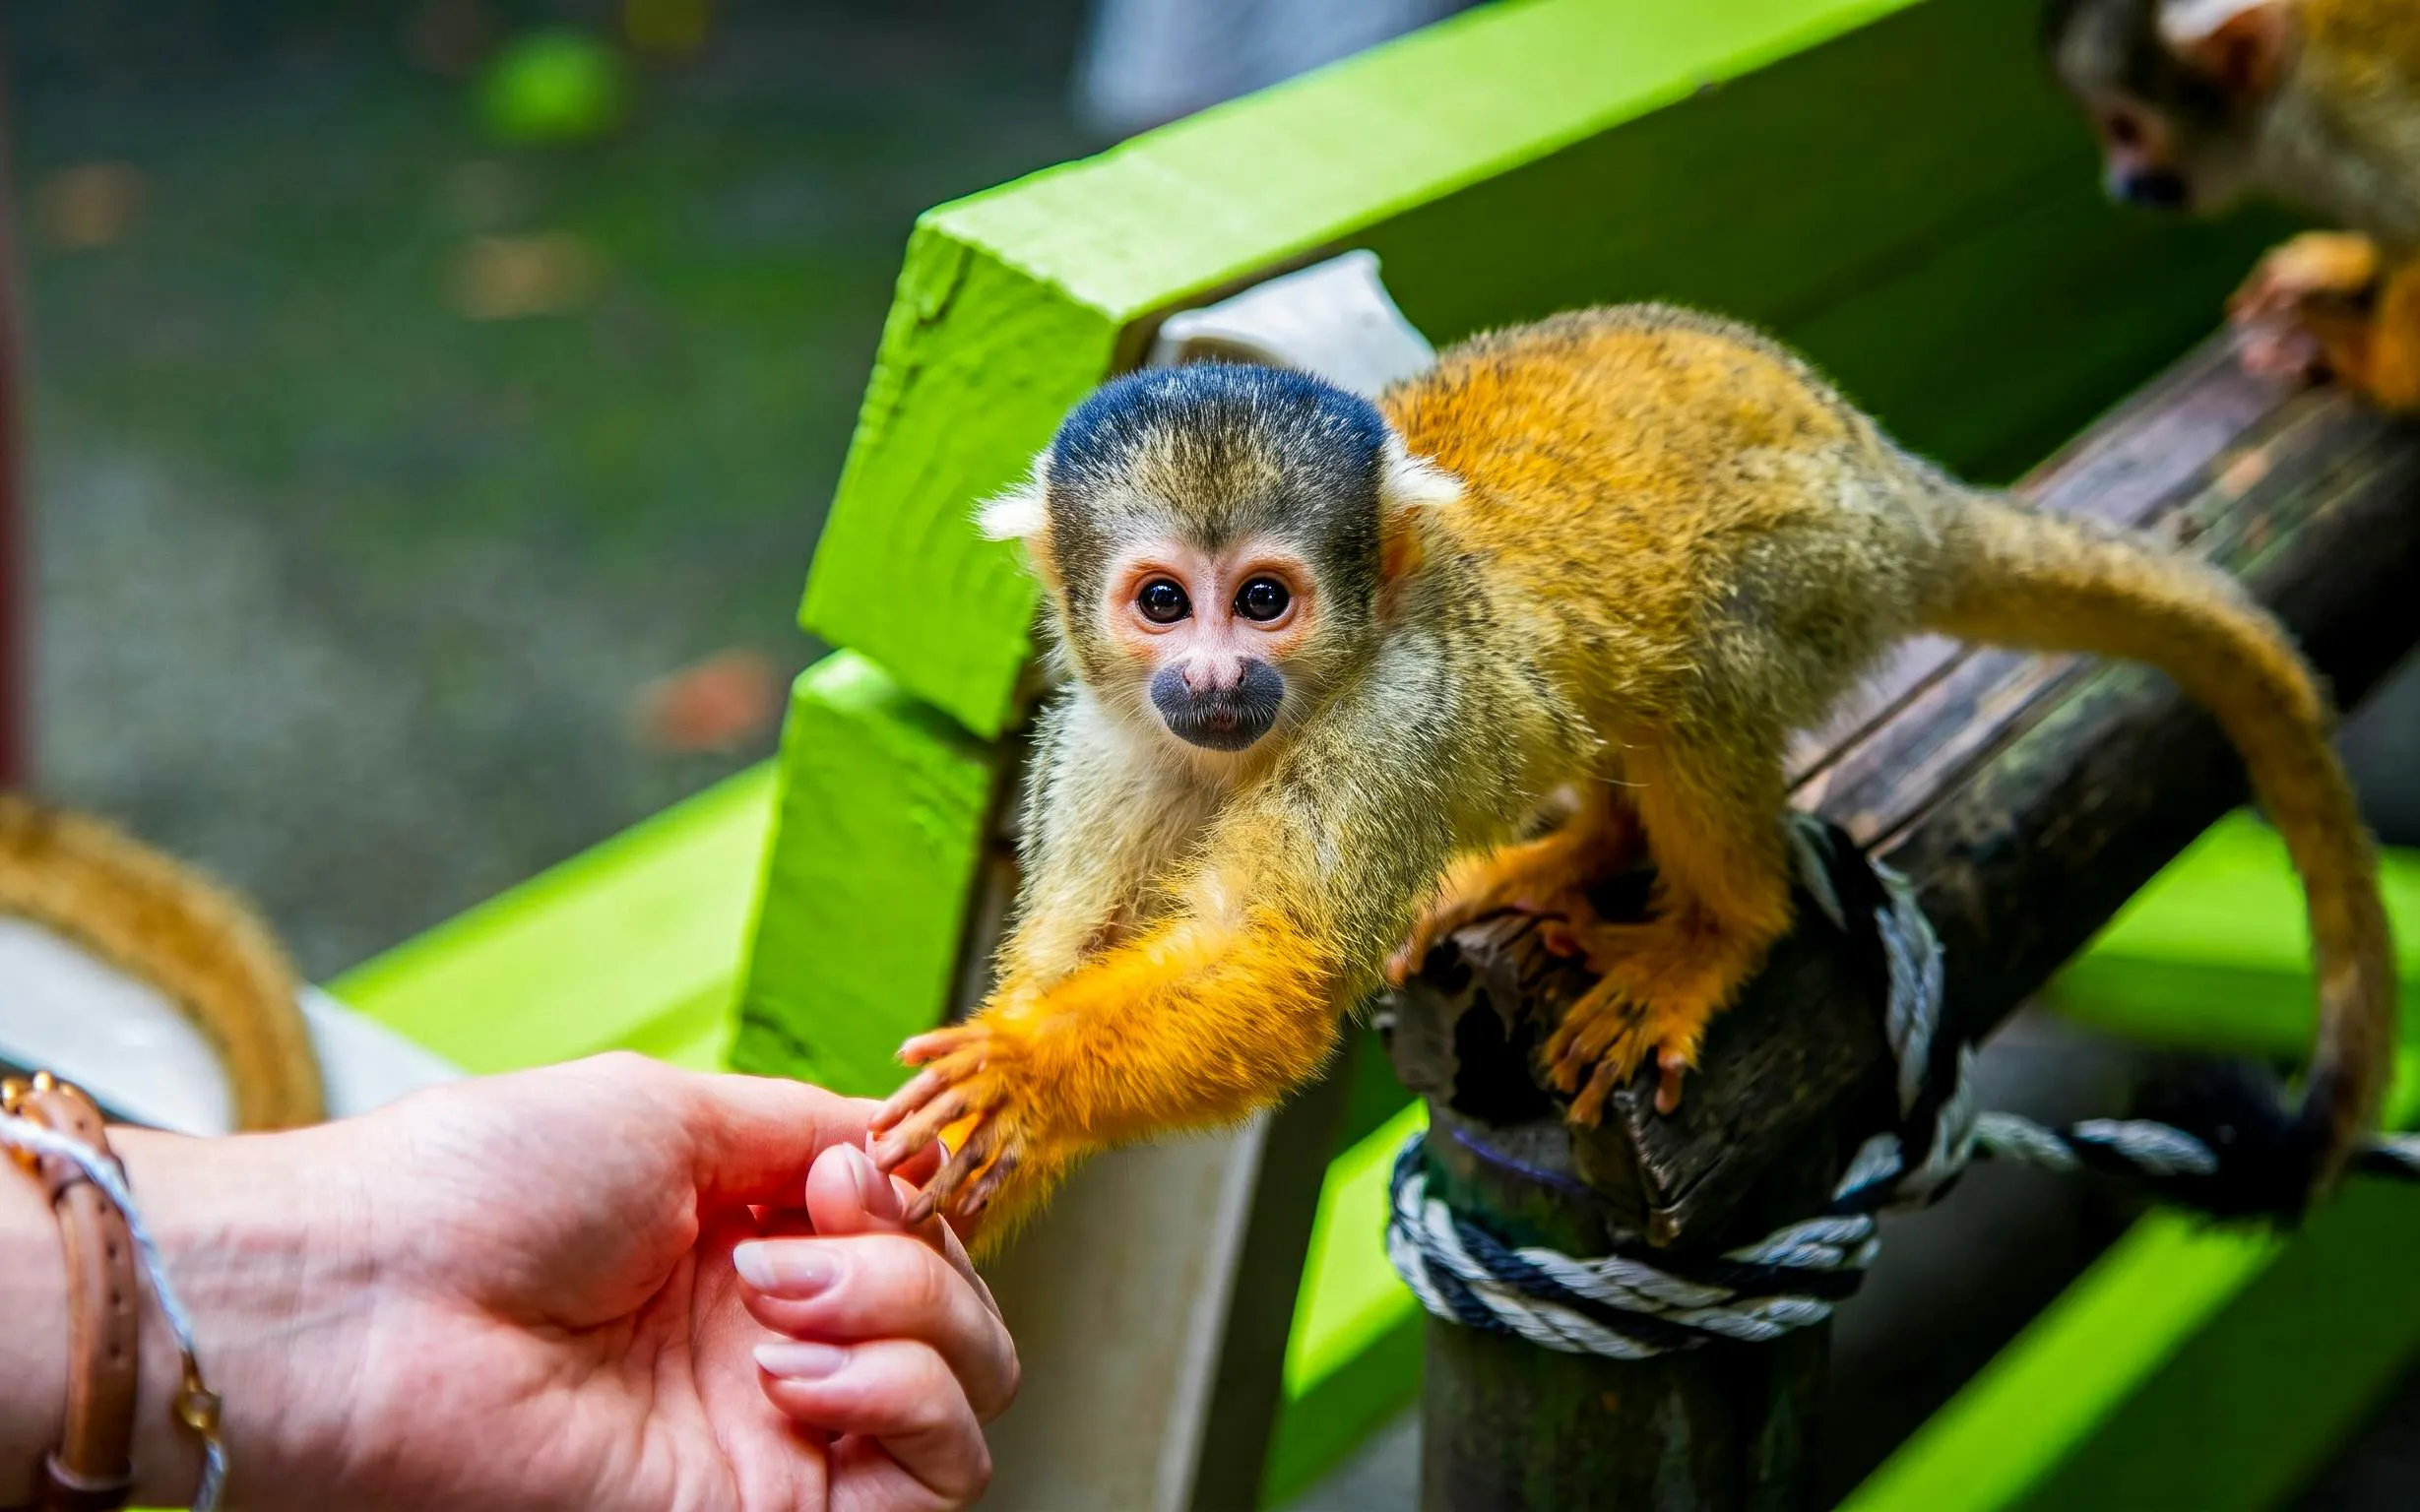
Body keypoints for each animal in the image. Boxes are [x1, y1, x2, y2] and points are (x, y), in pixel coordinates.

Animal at [866, 305, 2392, 1250]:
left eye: (1264, 600)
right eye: (1162, 604)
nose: (1215, 679)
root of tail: (1889, 474)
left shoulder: (1384, 721)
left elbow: (1275, 964)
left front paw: (1019, 1077)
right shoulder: (1103, 735)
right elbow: (1076, 939)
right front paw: (973, 1169)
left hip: (1817, 560)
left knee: (1701, 671)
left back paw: (1716, 929)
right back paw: (1578, 853)